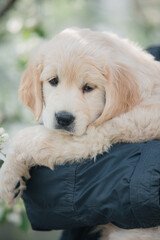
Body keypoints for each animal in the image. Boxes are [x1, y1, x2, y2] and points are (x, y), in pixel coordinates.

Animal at [0, 27, 160, 238]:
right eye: (53, 81)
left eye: (88, 88)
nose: (63, 118)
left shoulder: (95, 135)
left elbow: (28, 138)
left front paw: (7, 177)